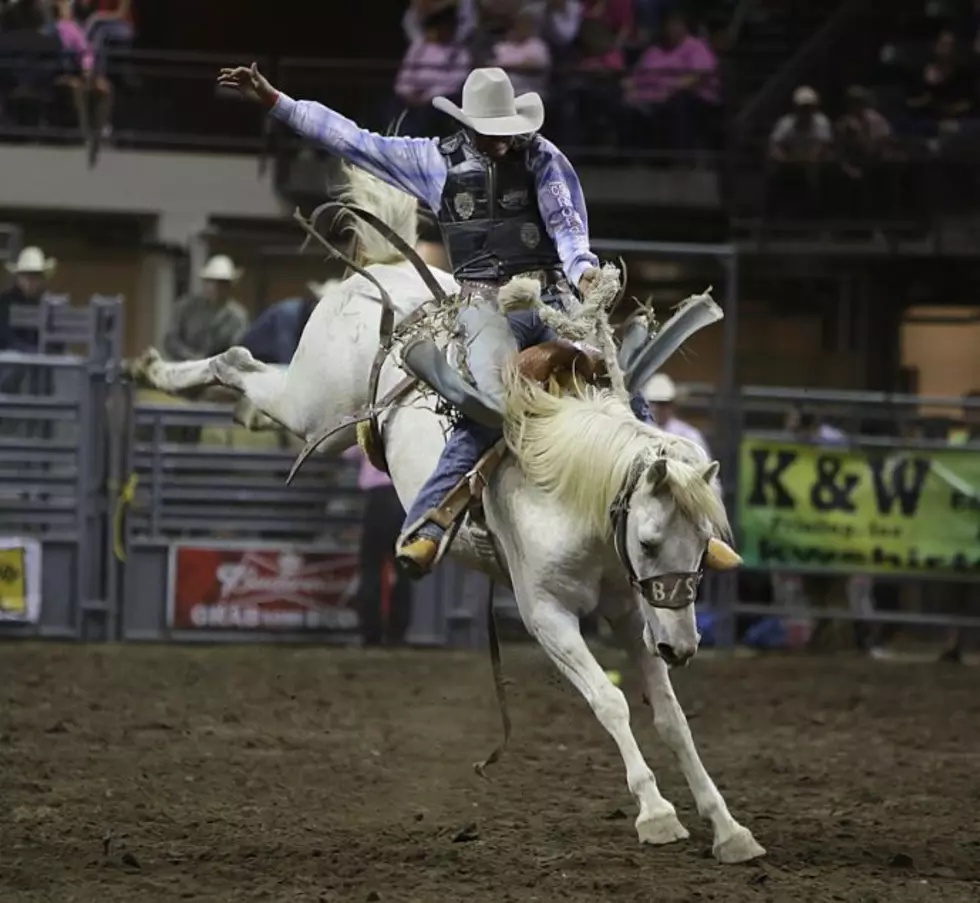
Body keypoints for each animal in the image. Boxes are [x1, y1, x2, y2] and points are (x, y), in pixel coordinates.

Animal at [136, 168, 764, 860]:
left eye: (703, 544)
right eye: (650, 542)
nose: (683, 647)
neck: (574, 496)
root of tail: (387, 272)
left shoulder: (632, 611)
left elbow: (672, 719)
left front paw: (727, 826)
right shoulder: (546, 616)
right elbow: (610, 701)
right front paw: (655, 812)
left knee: (248, 377)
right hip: (314, 409)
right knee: (237, 364)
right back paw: (156, 368)